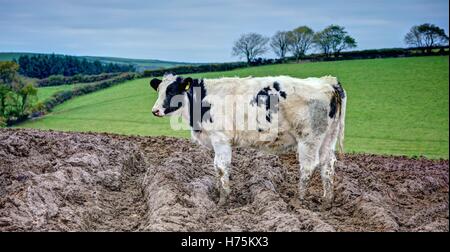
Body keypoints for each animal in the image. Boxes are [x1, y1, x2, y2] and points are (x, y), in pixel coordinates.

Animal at [149, 73, 346, 207]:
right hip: (328, 138)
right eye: (159, 90)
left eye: (172, 90)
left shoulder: (220, 138)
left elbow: (221, 167)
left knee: (308, 167)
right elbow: (218, 169)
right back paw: (327, 200)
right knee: (327, 165)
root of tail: (328, 82)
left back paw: (299, 199)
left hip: (309, 138)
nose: (155, 110)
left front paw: (223, 200)